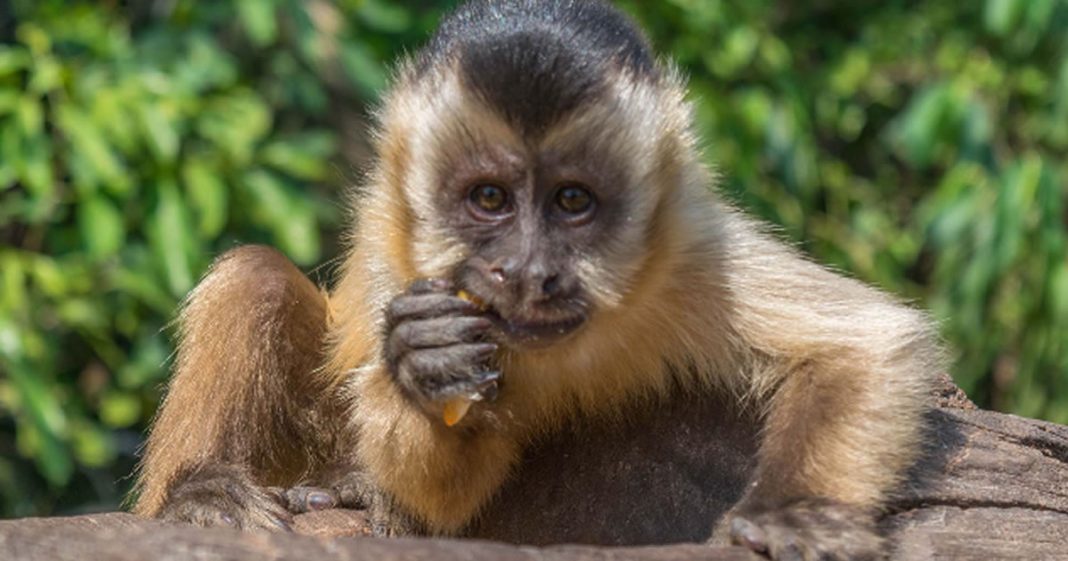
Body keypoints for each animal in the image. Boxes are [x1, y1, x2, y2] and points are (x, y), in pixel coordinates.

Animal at [133, 2, 944, 555]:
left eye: (572, 201)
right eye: (489, 199)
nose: (526, 271)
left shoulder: (689, 249)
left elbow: (866, 344)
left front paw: (796, 513)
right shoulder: (407, 263)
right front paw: (427, 361)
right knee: (258, 278)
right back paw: (200, 498)